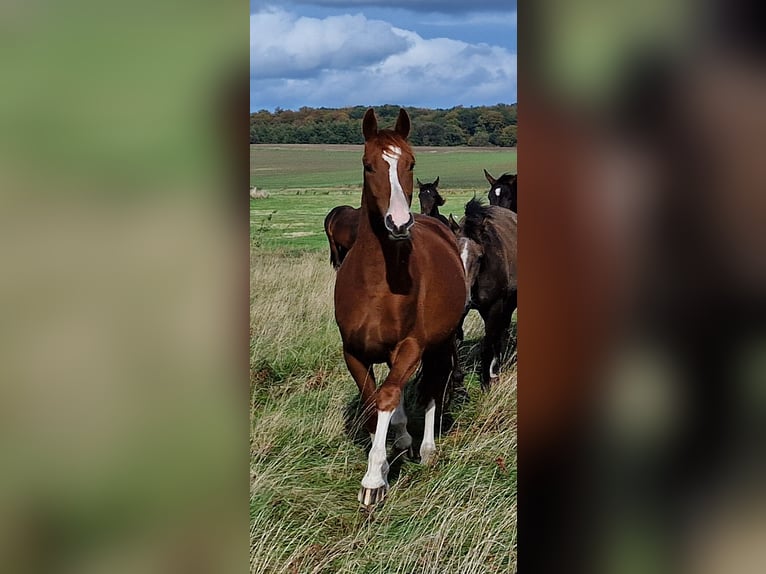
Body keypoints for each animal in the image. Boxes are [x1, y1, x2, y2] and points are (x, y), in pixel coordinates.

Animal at [334, 108, 466, 507]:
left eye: (410, 163)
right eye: (368, 165)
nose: (399, 223)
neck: (378, 283)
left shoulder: (411, 346)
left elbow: (389, 396)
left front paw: (374, 479)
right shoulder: (354, 352)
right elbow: (373, 400)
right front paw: (392, 448)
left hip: (441, 342)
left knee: (434, 385)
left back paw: (427, 449)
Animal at [449, 198, 517, 388]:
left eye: (480, 257)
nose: (464, 299)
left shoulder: (494, 306)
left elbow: (488, 344)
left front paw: (487, 381)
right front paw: (457, 380)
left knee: (498, 333)